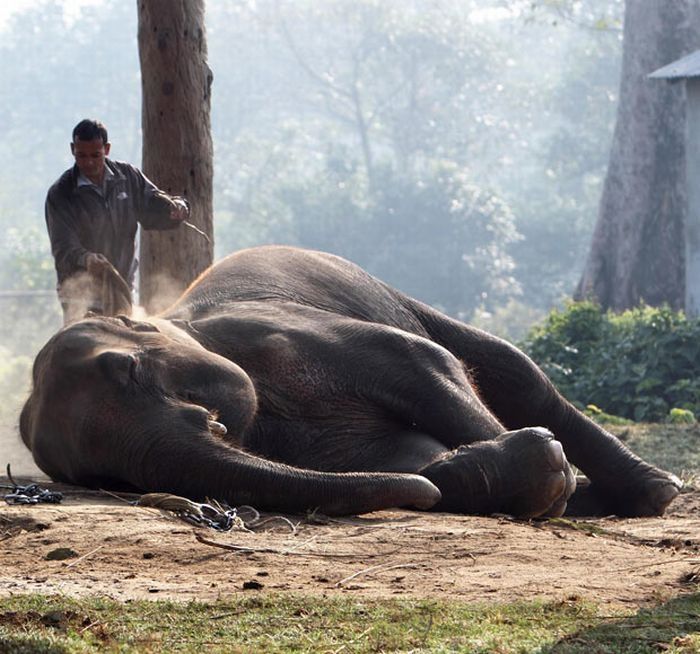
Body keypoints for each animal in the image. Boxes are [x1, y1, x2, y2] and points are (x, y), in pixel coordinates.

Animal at [17, 246, 684, 516]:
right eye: (106, 479)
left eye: (127, 369)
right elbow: (405, 456)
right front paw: (453, 473)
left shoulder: (281, 331)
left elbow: (421, 363)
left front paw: (547, 472)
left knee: (511, 371)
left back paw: (654, 492)